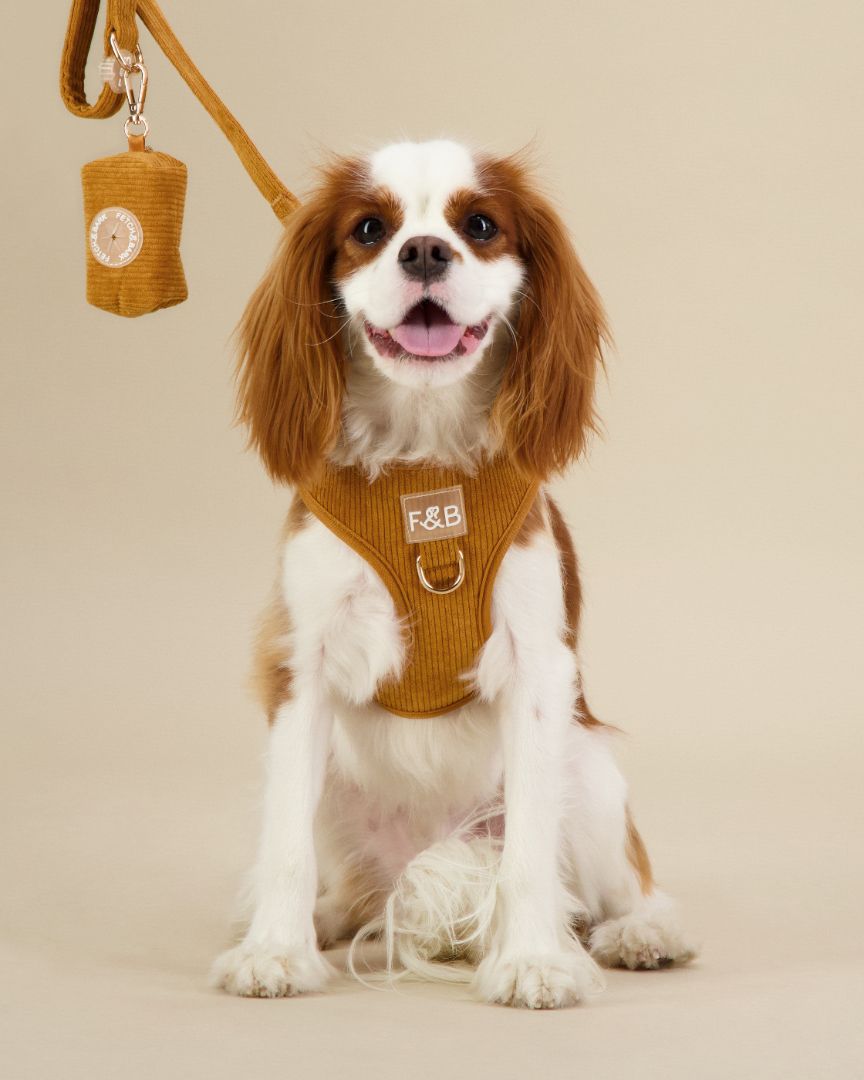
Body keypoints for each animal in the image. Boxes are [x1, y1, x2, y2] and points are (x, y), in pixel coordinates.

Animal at [213, 139, 695, 1006]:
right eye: (370, 229)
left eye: (479, 226)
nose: (426, 251)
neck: (423, 463)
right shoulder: (301, 668)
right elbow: (284, 845)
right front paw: (275, 951)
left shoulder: (539, 670)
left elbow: (531, 849)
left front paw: (533, 960)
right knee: (348, 881)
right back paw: (330, 918)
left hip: (590, 772)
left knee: (626, 883)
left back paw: (641, 932)